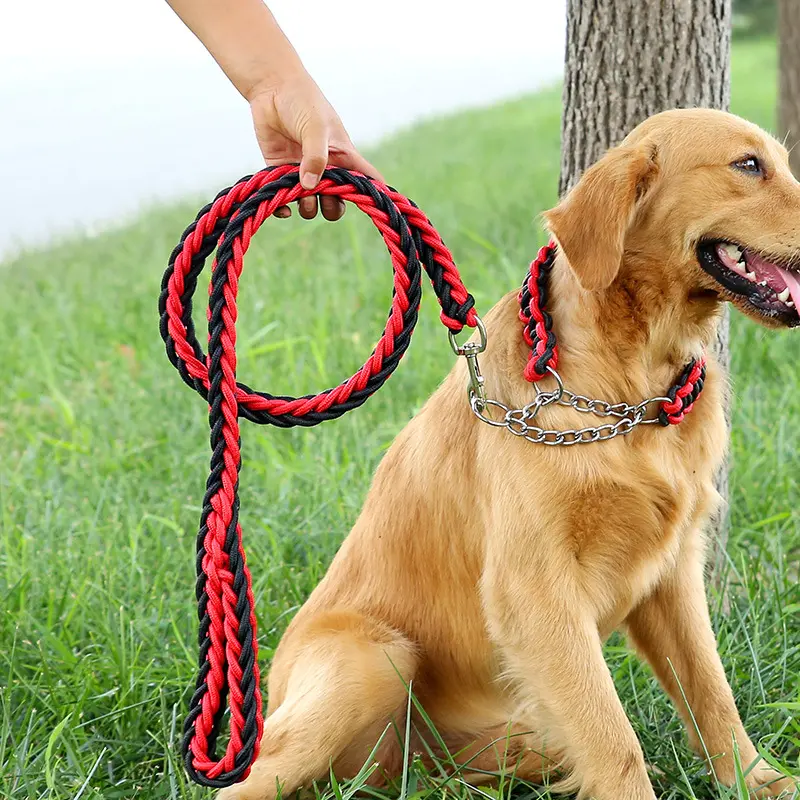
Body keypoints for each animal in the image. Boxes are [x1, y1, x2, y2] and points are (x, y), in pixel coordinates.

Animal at [219, 108, 800, 800]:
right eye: (748, 165)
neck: (631, 385)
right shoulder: (534, 590)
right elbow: (614, 739)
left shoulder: (672, 571)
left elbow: (713, 695)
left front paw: (756, 780)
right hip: (374, 659)